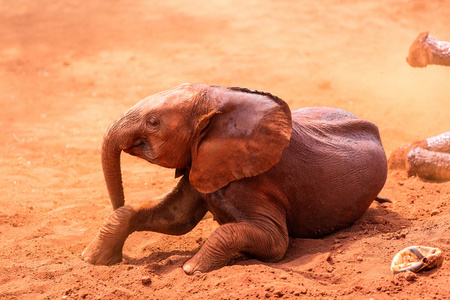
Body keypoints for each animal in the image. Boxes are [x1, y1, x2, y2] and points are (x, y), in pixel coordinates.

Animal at [81, 83, 386, 274]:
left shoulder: (258, 181)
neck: (221, 98)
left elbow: (275, 242)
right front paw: (92, 259)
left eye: (153, 122)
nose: (123, 259)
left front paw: (191, 268)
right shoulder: (202, 163)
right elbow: (176, 218)